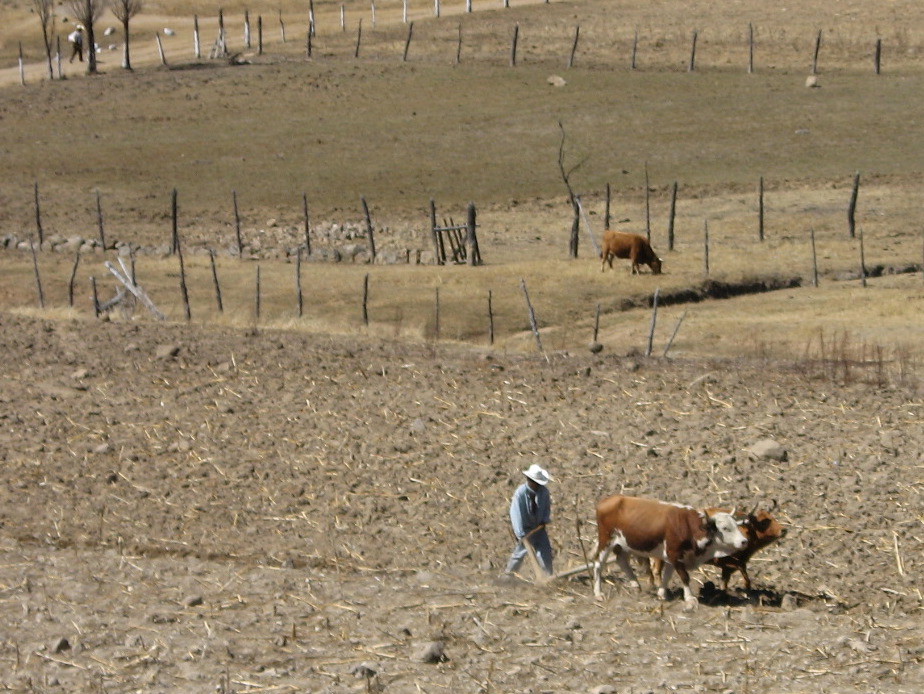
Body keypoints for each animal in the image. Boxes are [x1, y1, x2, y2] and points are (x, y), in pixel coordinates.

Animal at [592, 495, 747, 609]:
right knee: (598, 564)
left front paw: (662, 594)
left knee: (622, 561)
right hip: (606, 540)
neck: (689, 526)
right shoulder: (675, 554)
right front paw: (690, 598)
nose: (744, 541)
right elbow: (684, 577)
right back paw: (598, 593)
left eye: (736, 526)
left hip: (625, 544)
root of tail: (608, 500)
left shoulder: (672, 557)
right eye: (725, 528)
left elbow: (667, 575)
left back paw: (635, 585)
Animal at [650, 506, 786, 591]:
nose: (784, 530)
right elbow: (745, 575)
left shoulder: (728, 568)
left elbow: (725, 583)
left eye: (773, 517)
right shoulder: (729, 562)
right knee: (656, 571)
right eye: (764, 522)